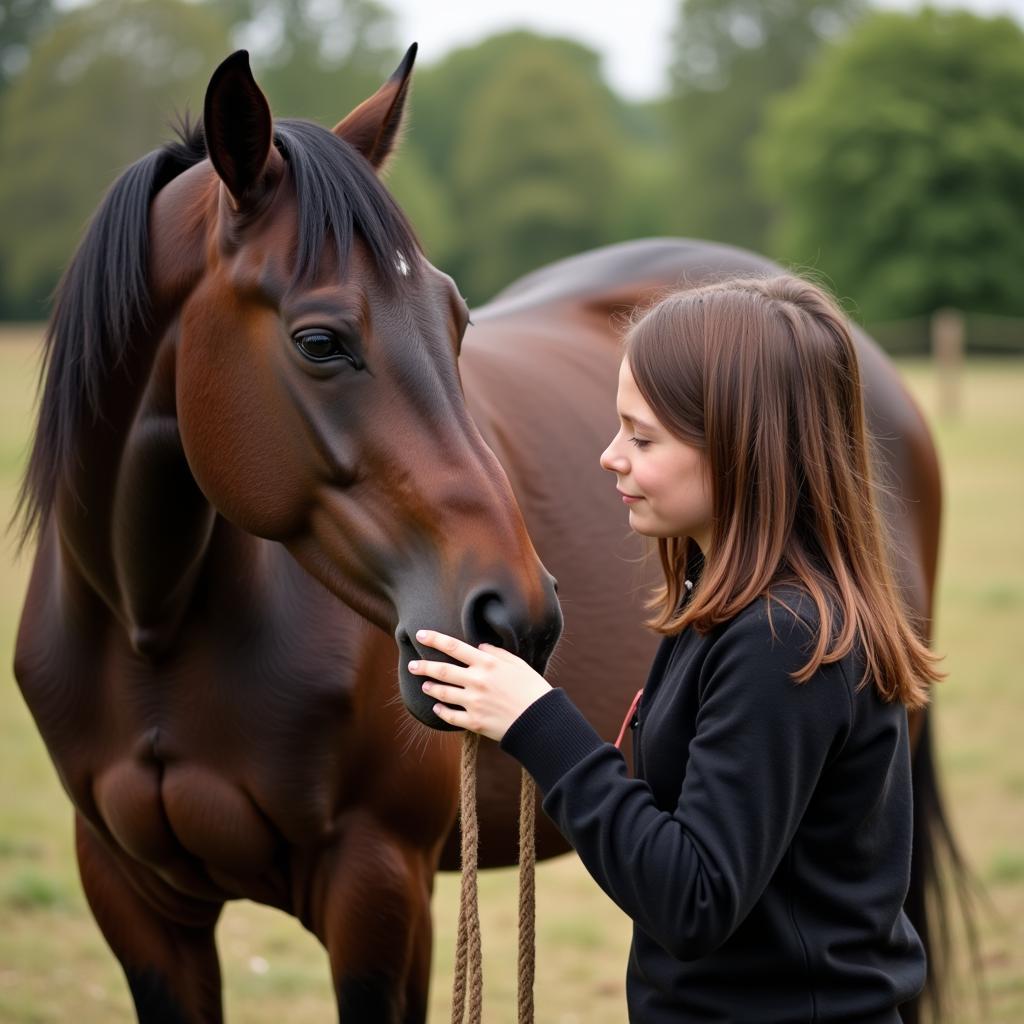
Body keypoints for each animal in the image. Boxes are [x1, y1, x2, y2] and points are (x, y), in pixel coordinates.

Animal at [12, 41, 958, 1024]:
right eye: (319, 342)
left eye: (457, 319)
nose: (517, 618)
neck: (153, 627)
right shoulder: (134, 901)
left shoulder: (381, 888)